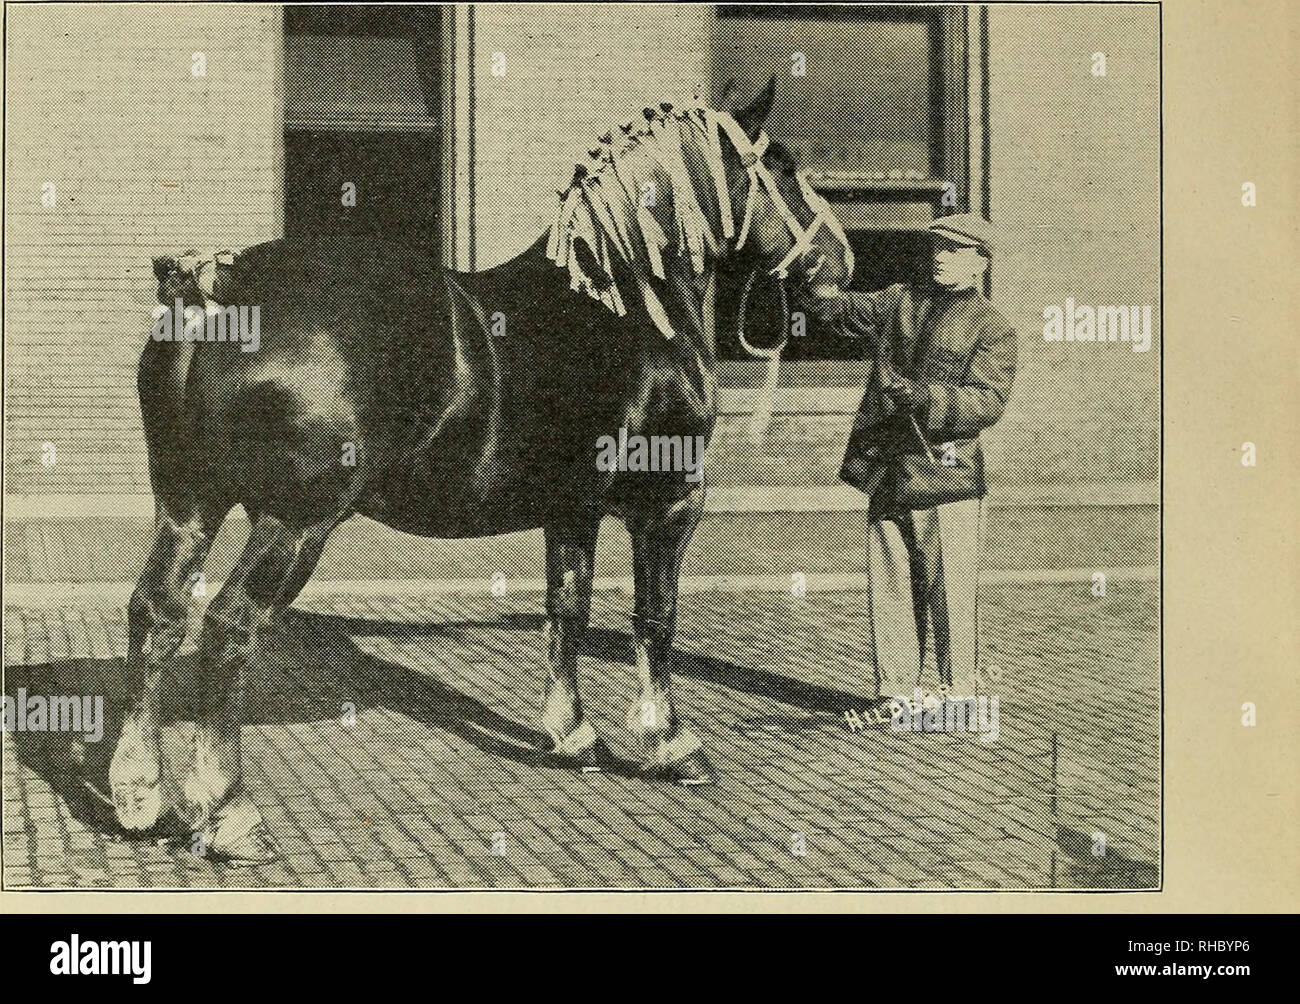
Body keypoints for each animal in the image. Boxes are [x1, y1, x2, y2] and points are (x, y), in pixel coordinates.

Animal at [111, 82, 852, 858]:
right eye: (783, 166)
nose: (841, 260)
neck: (629, 301)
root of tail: (218, 288)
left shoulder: (572, 511)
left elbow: (567, 611)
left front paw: (573, 735)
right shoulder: (670, 507)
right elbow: (656, 621)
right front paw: (674, 746)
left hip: (189, 506)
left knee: (155, 613)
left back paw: (139, 795)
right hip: (294, 522)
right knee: (228, 628)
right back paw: (232, 814)